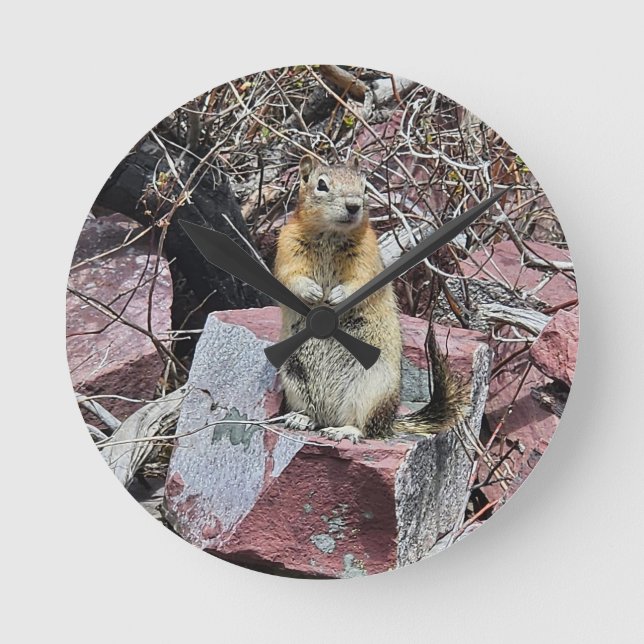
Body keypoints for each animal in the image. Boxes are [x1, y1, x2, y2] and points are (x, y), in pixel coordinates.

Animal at [273, 154, 468, 443]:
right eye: (322, 185)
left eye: (365, 187)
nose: (353, 206)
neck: (330, 235)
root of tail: (389, 422)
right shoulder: (286, 247)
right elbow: (289, 278)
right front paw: (313, 292)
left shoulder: (368, 255)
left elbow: (361, 281)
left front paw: (337, 294)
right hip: (293, 377)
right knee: (315, 414)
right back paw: (301, 418)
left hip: (372, 389)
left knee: (365, 428)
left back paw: (344, 431)